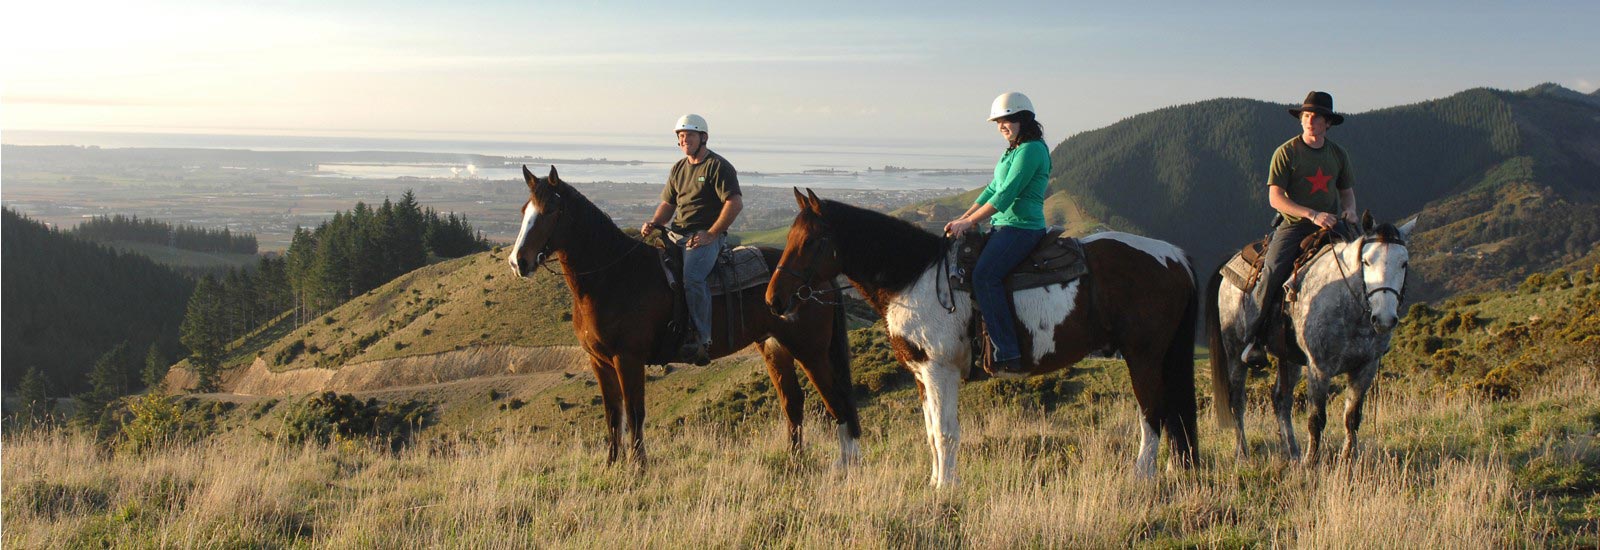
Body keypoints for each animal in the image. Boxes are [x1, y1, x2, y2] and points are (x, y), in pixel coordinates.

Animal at [512, 166, 864, 466]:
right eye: (524, 210)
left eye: (550, 211)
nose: (519, 262)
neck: (614, 275)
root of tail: (818, 279)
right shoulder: (599, 361)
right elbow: (613, 414)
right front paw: (612, 464)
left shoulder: (628, 358)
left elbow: (635, 413)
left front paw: (638, 467)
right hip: (775, 347)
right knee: (793, 403)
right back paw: (795, 462)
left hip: (811, 352)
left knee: (837, 402)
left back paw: (847, 463)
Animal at [764, 187, 1203, 486]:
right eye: (789, 239)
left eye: (812, 241)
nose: (773, 299)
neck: (916, 277)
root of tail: (1174, 256)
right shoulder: (922, 374)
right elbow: (931, 432)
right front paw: (936, 482)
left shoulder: (940, 370)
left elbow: (946, 433)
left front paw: (945, 489)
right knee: (1171, 412)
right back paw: (1172, 469)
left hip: (1143, 356)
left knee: (1152, 412)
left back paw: (1142, 475)